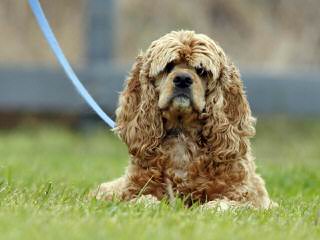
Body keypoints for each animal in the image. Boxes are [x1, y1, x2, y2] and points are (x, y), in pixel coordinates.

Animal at [95, 31, 276, 209]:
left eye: (201, 70)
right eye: (168, 67)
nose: (182, 79)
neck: (182, 134)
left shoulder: (247, 196)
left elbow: (221, 205)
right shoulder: (128, 189)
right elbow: (142, 199)